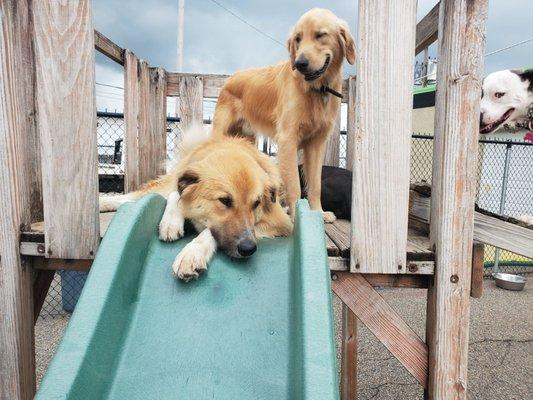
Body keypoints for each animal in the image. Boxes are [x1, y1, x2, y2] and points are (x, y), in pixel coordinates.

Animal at [100, 129, 290, 282]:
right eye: (225, 201)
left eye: (256, 203)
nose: (248, 249)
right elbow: (176, 195)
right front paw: (171, 223)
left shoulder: (281, 223)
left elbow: (208, 232)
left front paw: (192, 253)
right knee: (141, 195)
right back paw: (104, 202)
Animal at [211, 7, 354, 223]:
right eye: (298, 39)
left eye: (320, 35)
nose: (300, 63)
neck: (317, 89)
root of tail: (230, 79)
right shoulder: (288, 139)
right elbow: (294, 185)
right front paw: (296, 215)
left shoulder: (316, 144)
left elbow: (315, 185)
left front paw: (318, 212)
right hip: (220, 132)